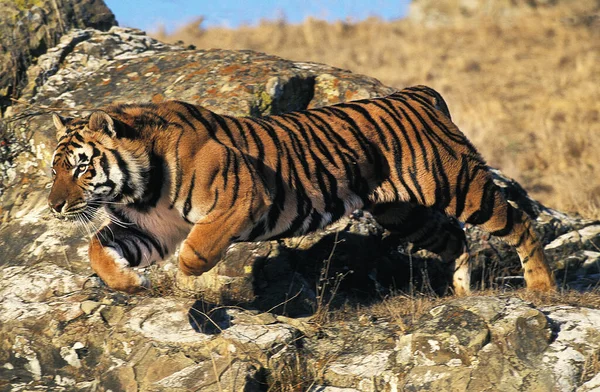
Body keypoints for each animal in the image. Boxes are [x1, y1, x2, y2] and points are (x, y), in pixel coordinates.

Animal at [48, 85, 556, 294]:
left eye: (81, 168)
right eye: (54, 170)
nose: (53, 206)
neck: (141, 187)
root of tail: (415, 93)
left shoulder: (242, 194)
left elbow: (198, 246)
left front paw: (192, 276)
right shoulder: (151, 229)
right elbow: (97, 249)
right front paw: (129, 281)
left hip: (462, 186)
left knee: (522, 224)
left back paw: (542, 289)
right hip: (405, 213)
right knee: (455, 238)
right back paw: (461, 294)